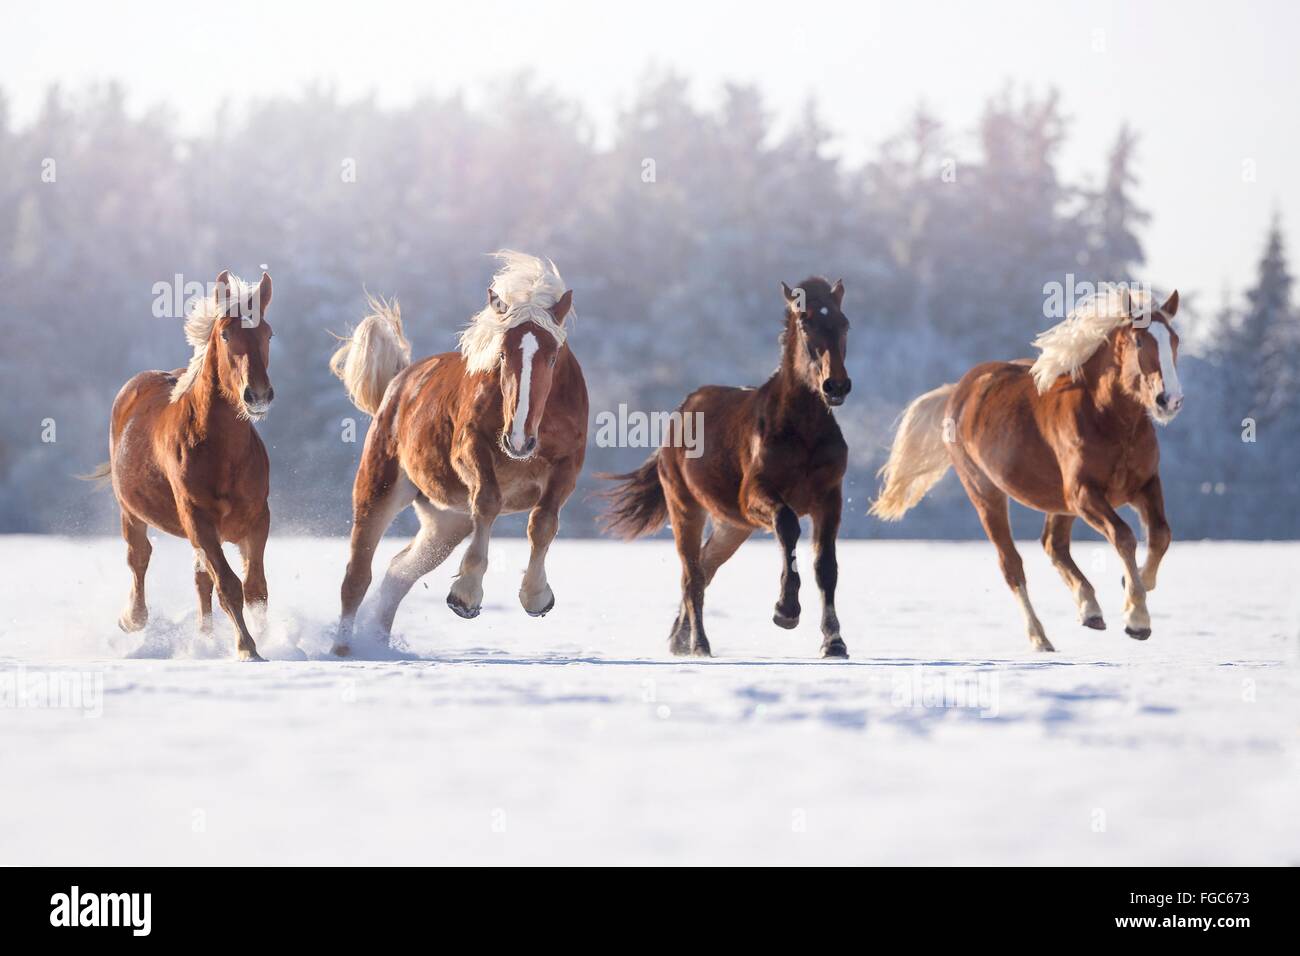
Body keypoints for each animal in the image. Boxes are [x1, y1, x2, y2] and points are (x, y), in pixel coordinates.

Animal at [90, 269, 278, 658]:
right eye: (225, 334)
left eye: (268, 333)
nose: (258, 395)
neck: (224, 454)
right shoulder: (198, 518)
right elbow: (228, 584)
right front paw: (247, 647)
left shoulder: (257, 519)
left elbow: (255, 588)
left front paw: (270, 640)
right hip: (130, 511)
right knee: (139, 557)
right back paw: (132, 619)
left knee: (199, 578)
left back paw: (204, 638)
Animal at [327, 251, 587, 655]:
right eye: (502, 353)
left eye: (553, 355)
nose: (519, 440)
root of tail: (398, 383)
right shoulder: (471, 450)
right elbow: (489, 502)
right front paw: (466, 595)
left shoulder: (568, 466)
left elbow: (543, 523)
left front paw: (535, 597)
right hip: (379, 490)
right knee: (357, 576)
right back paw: (343, 650)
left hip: (445, 522)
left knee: (398, 573)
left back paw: (379, 644)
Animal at [600, 273, 852, 655]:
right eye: (806, 325)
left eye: (844, 324)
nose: (835, 386)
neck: (802, 431)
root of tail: (679, 413)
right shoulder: (755, 496)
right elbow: (788, 525)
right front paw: (785, 611)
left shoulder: (829, 498)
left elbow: (826, 567)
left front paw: (834, 642)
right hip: (686, 508)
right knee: (692, 575)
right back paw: (699, 644)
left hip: (731, 526)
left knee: (705, 568)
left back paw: (679, 639)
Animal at [868, 283, 1185, 650]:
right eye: (1139, 341)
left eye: (1174, 340)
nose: (1169, 400)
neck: (1107, 417)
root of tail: (957, 392)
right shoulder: (1084, 493)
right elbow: (1125, 536)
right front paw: (1136, 618)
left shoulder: (1144, 484)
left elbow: (1161, 534)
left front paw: (1137, 585)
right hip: (987, 494)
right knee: (1012, 564)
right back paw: (1040, 637)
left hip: (1059, 503)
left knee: (1053, 545)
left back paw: (1090, 610)